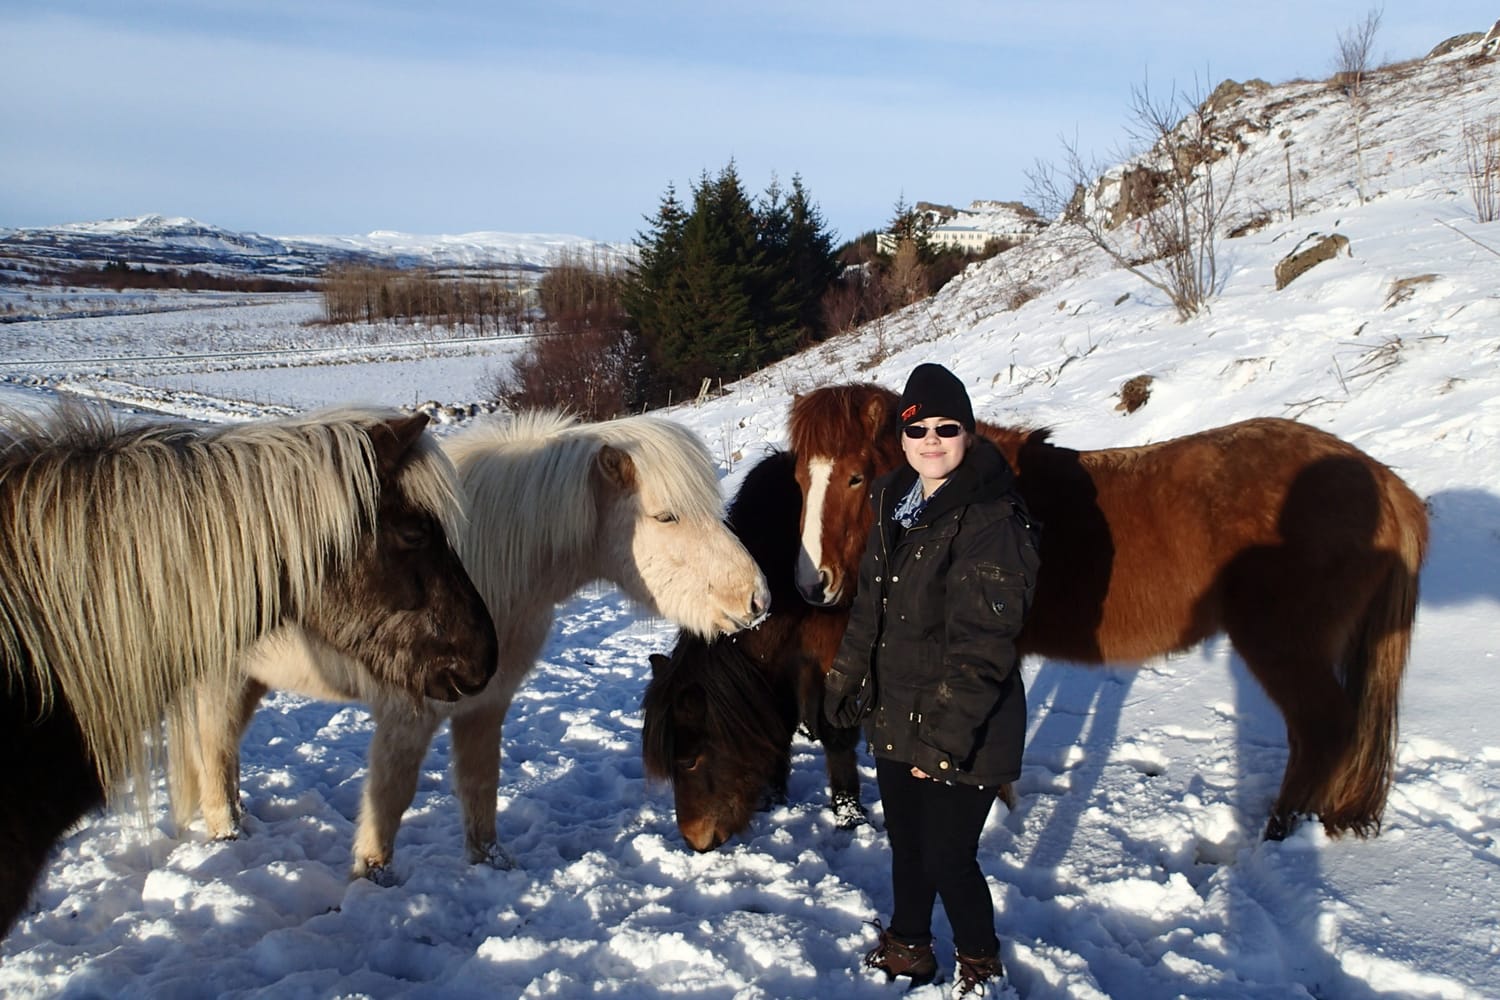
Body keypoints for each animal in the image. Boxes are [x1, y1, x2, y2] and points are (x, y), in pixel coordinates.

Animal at [173, 410, 770, 879]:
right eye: (666, 516)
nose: (757, 600)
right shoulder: (408, 715)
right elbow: (388, 804)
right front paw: (371, 884)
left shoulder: (486, 704)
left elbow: (482, 789)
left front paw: (492, 868)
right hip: (223, 680)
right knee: (217, 756)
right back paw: (227, 838)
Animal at [642, 450, 862, 852]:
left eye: (690, 761)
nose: (696, 841)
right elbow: (778, 724)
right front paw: (772, 798)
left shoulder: (834, 659)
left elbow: (836, 735)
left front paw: (849, 816)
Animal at [789, 383, 1428, 840]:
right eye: (798, 479)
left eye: (855, 476)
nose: (812, 585)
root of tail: (1382, 482)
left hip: (1284, 647)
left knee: (1323, 731)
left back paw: (1275, 838)